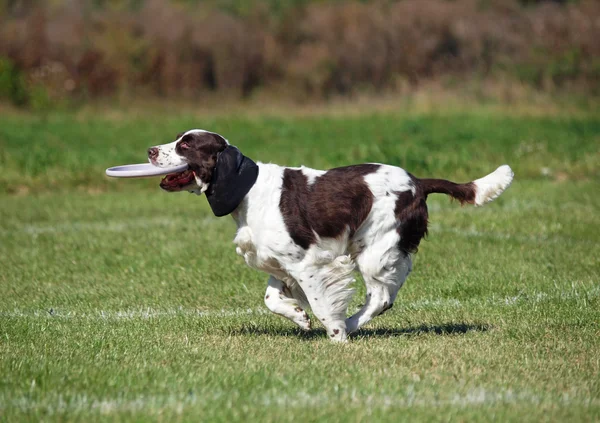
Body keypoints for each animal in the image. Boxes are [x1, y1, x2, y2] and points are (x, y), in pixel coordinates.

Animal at [148, 128, 512, 342]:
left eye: (186, 144)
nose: (151, 150)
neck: (249, 191)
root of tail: (419, 182)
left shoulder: (308, 261)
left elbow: (321, 302)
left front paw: (335, 335)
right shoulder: (279, 260)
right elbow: (271, 299)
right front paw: (299, 318)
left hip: (373, 249)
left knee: (381, 296)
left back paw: (348, 327)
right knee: (390, 290)